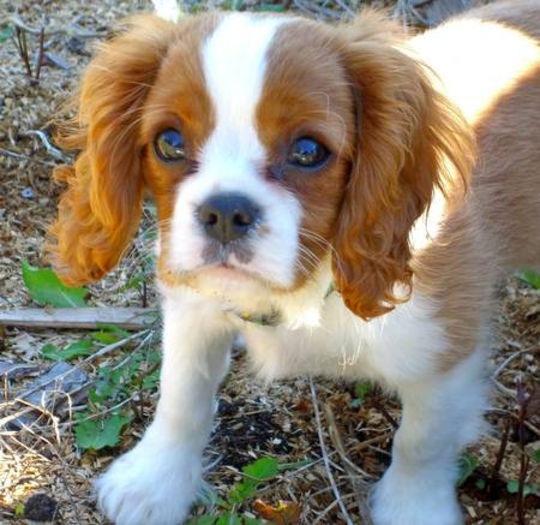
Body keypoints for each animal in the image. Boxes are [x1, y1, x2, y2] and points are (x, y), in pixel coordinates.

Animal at [49, 2, 540, 520]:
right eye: (169, 142)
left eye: (308, 151)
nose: (225, 212)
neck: (309, 284)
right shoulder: (193, 307)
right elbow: (181, 395)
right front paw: (154, 482)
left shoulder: (445, 352)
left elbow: (422, 442)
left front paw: (413, 508)